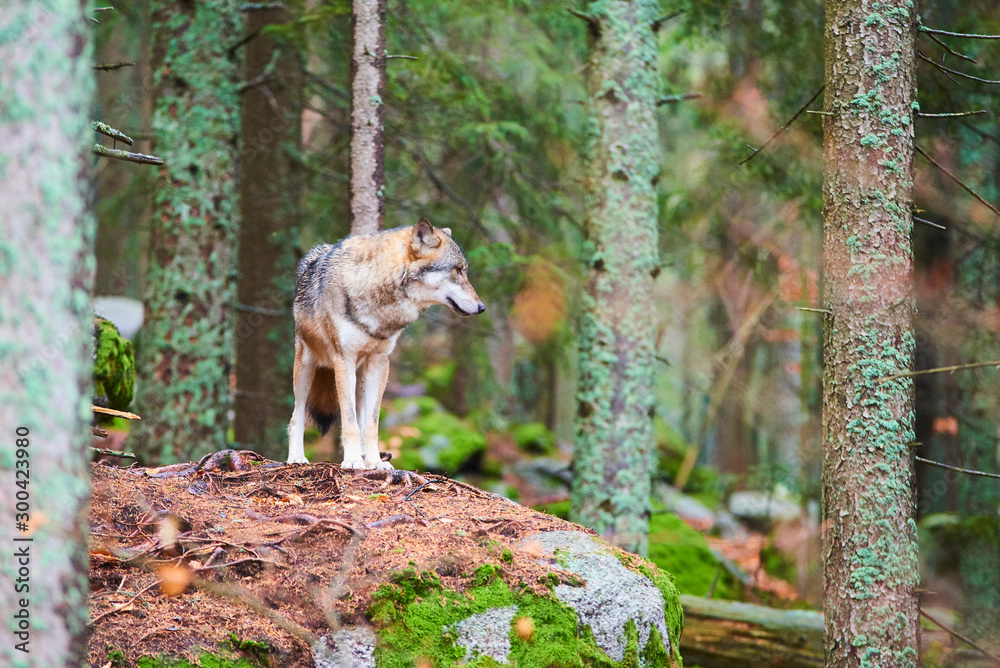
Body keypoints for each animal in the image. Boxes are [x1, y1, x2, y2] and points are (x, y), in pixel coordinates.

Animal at [286, 218, 485, 468]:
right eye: (458, 270)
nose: (482, 307)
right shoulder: (344, 361)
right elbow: (349, 423)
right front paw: (352, 461)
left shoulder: (380, 363)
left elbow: (371, 424)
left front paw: (374, 463)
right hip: (306, 369)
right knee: (296, 417)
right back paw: (297, 457)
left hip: (360, 378)